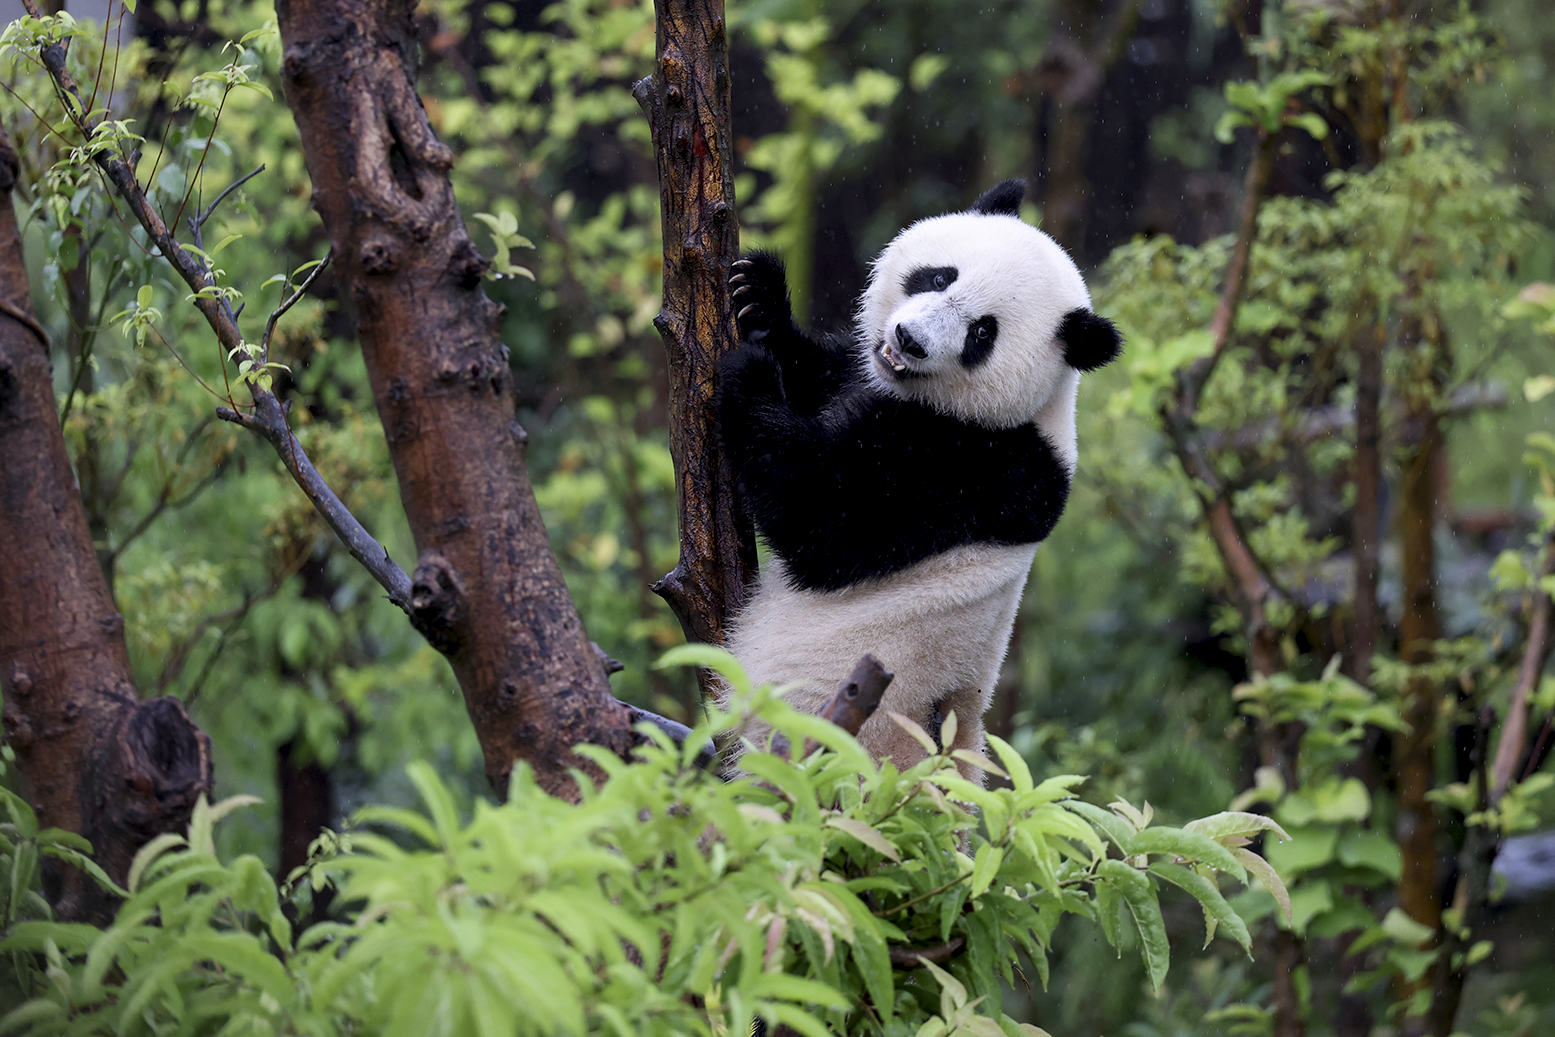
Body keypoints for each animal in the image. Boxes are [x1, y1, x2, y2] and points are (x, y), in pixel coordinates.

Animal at [716, 179, 1121, 779]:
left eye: (982, 333)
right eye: (939, 277)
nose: (909, 340)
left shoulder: (982, 466)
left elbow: (830, 522)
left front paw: (749, 374)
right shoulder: (864, 378)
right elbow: (822, 372)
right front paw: (760, 300)